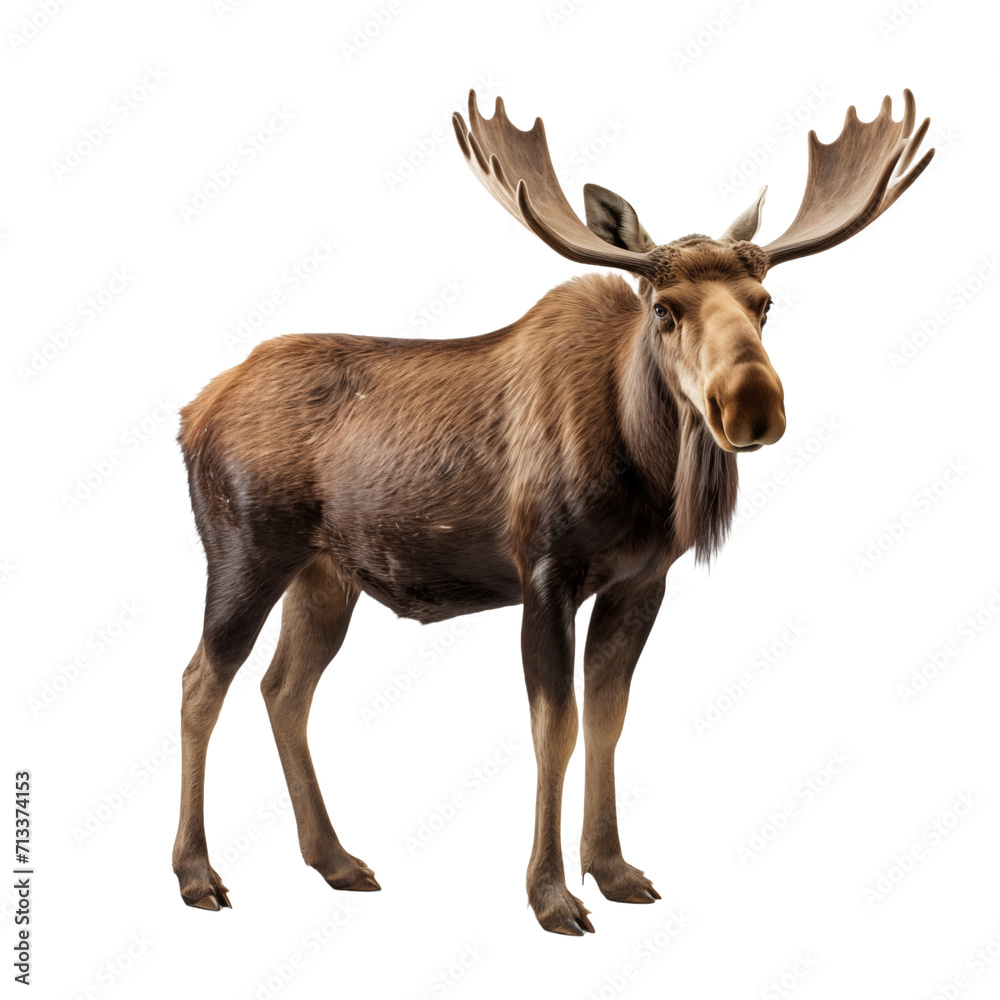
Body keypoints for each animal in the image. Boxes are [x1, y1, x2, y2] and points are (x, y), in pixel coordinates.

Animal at [172, 89, 933, 934]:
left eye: (764, 302)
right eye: (664, 308)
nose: (752, 405)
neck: (644, 470)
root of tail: (191, 412)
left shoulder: (639, 581)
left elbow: (608, 716)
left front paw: (614, 869)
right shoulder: (545, 574)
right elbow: (555, 727)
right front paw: (552, 894)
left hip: (326, 574)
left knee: (284, 689)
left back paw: (335, 859)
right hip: (245, 551)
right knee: (201, 681)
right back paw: (198, 874)